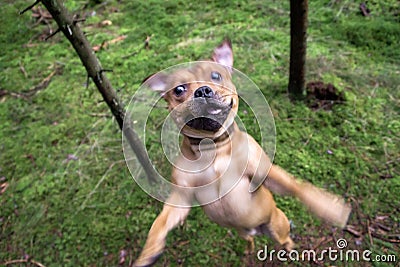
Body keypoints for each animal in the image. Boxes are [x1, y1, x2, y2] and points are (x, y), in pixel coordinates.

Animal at [134, 40, 350, 267]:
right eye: (179, 89)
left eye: (216, 76)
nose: (202, 91)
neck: (213, 148)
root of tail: (257, 230)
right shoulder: (182, 197)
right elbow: (160, 222)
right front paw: (149, 251)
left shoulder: (265, 173)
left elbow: (298, 188)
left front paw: (329, 207)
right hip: (242, 231)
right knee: (249, 240)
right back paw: (249, 250)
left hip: (277, 225)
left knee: (285, 239)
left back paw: (290, 249)